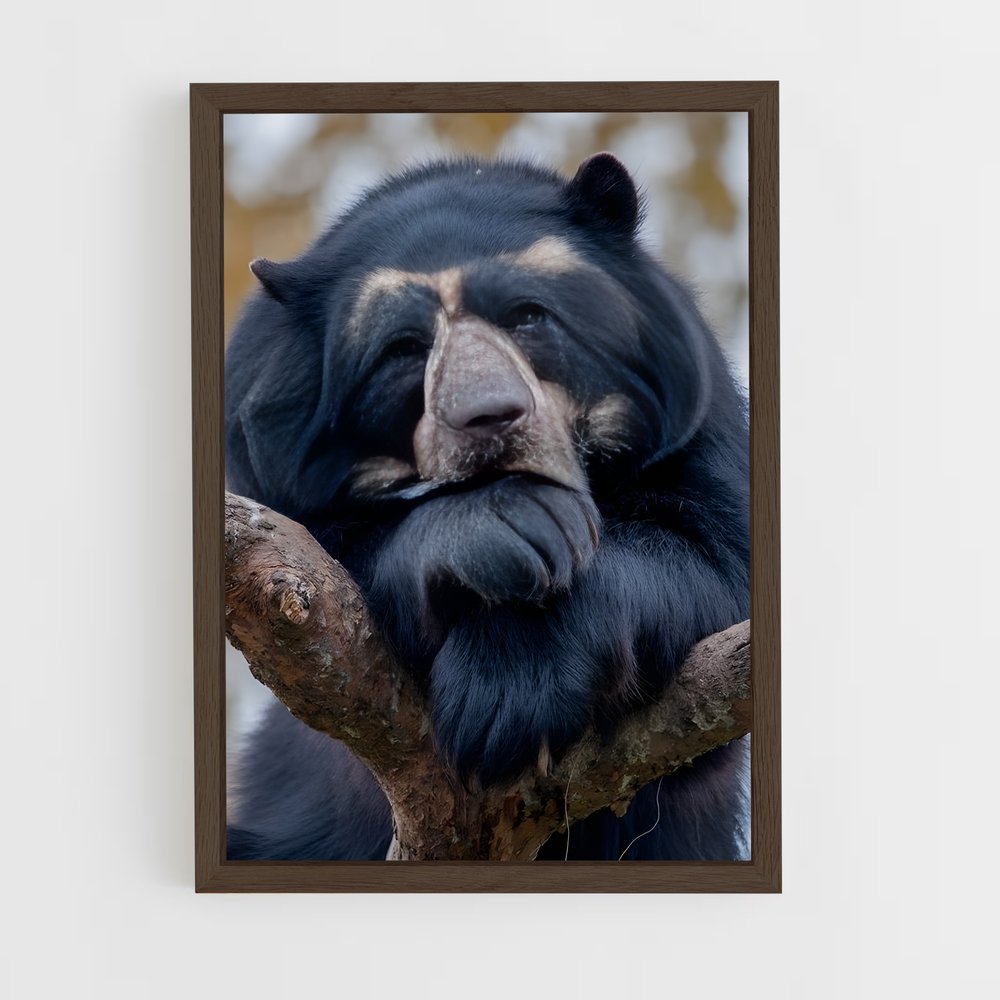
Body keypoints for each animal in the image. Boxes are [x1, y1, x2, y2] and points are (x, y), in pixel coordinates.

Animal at [224, 153, 750, 861]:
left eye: (528, 315)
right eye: (405, 348)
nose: (489, 417)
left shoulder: (696, 429)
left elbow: (712, 564)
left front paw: (502, 703)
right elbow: (326, 567)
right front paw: (513, 524)